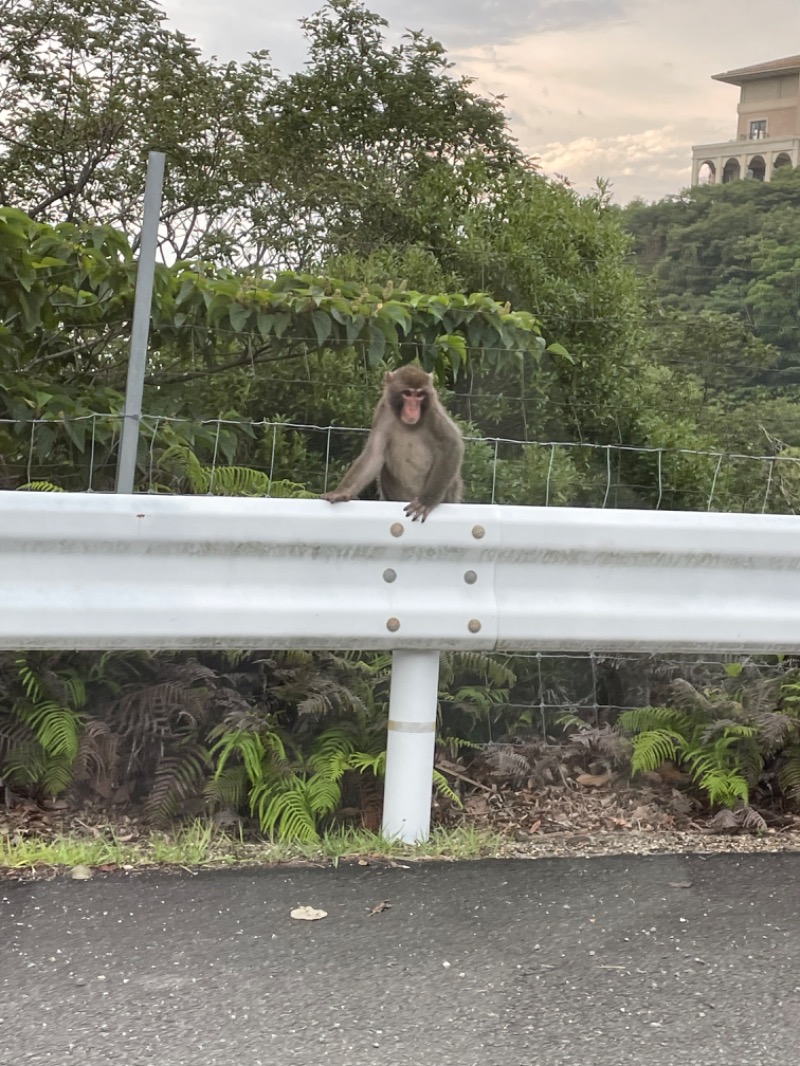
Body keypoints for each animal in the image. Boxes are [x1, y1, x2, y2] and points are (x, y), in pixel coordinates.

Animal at [322, 364, 467, 522]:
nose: (413, 408)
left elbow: (451, 444)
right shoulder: (383, 410)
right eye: (407, 393)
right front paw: (342, 492)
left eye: (420, 395)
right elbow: (374, 454)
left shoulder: (432, 411)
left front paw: (426, 500)